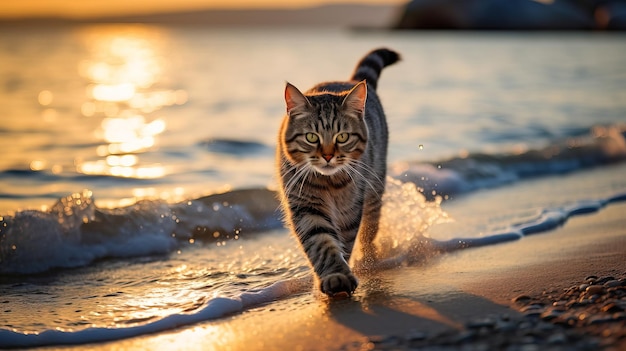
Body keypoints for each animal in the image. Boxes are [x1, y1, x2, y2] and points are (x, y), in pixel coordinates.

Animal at [276, 48, 398, 298]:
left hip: (374, 190)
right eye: (311, 137)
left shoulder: (349, 210)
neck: (328, 182)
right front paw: (335, 277)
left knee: (369, 230)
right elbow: (321, 242)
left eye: (342, 137)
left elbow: (345, 241)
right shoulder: (305, 205)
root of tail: (349, 80)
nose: (328, 155)